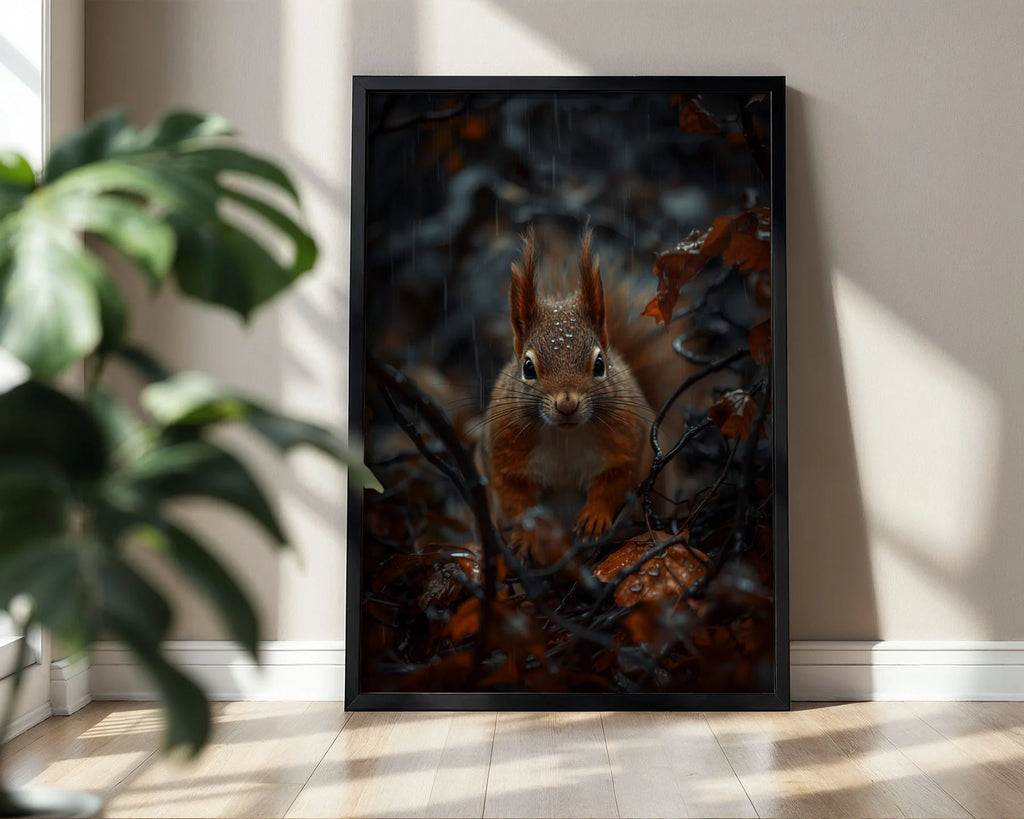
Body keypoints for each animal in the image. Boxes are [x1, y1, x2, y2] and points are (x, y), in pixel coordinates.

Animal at [475, 228, 672, 555]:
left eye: (600, 364)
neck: (564, 436)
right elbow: (515, 498)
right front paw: (528, 536)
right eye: (528, 367)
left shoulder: (626, 441)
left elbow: (615, 481)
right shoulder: (505, 451)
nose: (567, 405)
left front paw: (594, 517)